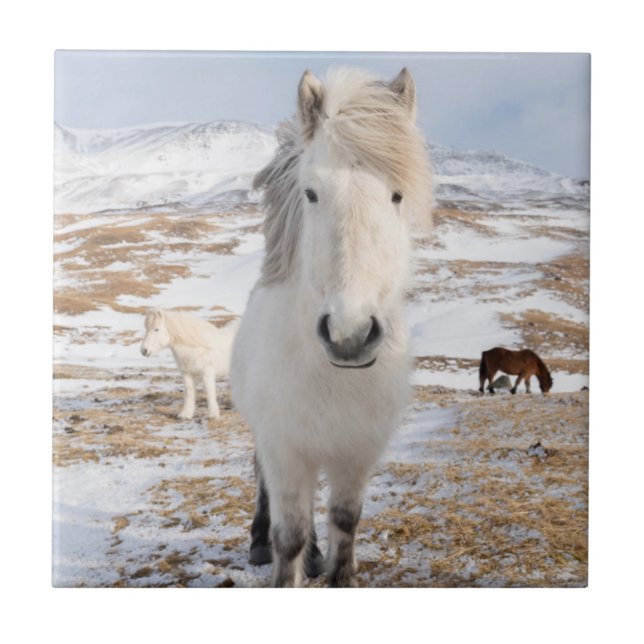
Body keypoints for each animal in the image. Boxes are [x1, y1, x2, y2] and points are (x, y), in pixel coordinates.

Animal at [230, 67, 434, 587]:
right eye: (311, 193)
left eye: (396, 194)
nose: (350, 334)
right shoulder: (285, 451)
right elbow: (289, 537)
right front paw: (285, 561)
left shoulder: (356, 454)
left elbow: (345, 520)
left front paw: (339, 571)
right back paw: (259, 544)